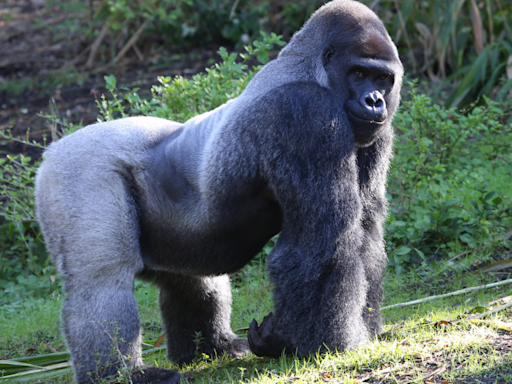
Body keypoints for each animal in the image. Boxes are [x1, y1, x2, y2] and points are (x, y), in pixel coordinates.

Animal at [35, 1, 404, 382]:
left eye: (382, 79)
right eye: (358, 74)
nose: (374, 101)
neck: (313, 70)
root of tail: (51, 150)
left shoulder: (374, 133)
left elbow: (365, 233)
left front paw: (359, 329)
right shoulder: (305, 112)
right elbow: (323, 242)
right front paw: (324, 345)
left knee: (190, 278)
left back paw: (211, 348)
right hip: (76, 170)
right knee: (102, 282)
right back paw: (119, 374)